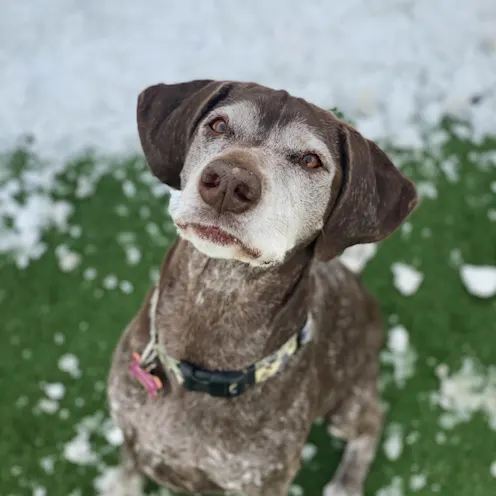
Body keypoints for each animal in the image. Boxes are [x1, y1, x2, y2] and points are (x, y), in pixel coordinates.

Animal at [106, 79, 416, 494]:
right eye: (219, 126)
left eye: (310, 161)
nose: (229, 181)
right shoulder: (131, 435)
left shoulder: (265, 481)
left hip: (347, 403)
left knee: (371, 422)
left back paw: (346, 483)